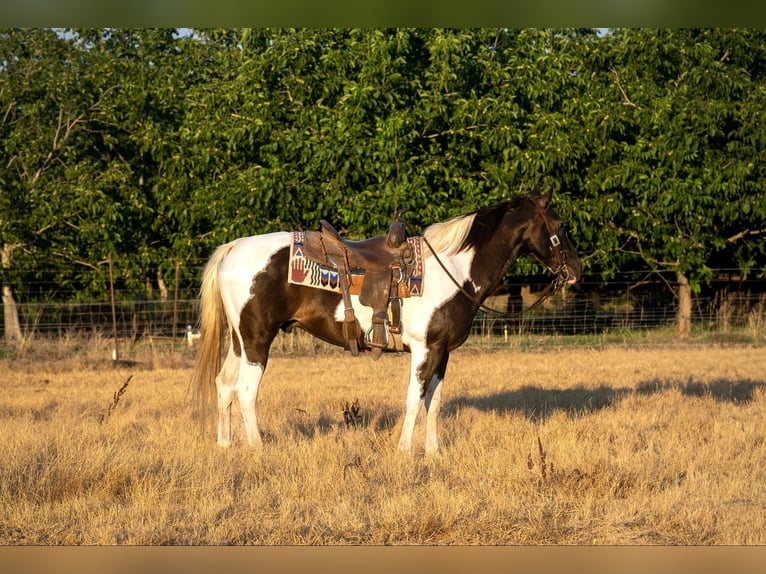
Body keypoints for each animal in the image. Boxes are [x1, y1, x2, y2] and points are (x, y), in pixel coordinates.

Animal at [190, 189, 584, 454]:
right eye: (561, 224)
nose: (576, 271)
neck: (453, 267)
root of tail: (233, 248)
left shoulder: (443, 351)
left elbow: (434, 402)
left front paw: (433, 452)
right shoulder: (424, 349)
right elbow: (413, 399)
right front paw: (404, 451)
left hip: (240, 341)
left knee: (224, 385)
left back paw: (225, 445)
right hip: (258, 339)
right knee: (245, 391)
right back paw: (257, 449)